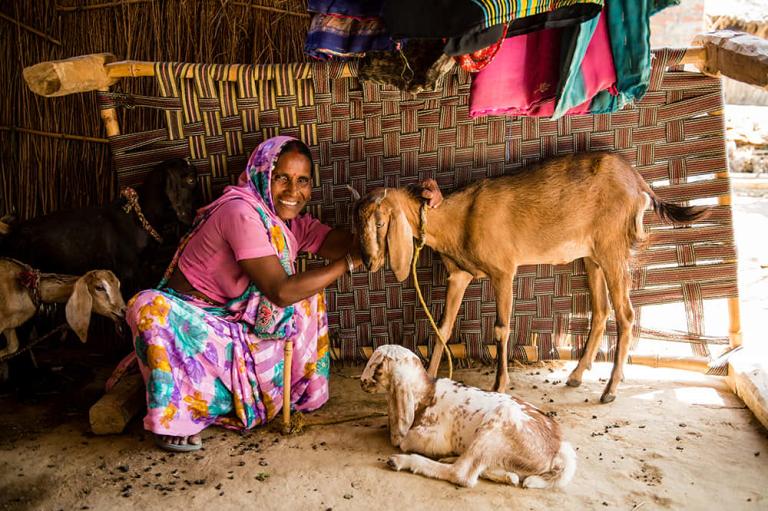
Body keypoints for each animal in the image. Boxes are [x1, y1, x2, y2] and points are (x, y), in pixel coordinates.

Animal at [0, 159, 198, 296]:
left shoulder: (145, 268)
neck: (138, 219)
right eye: (190, 179)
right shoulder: (127, 274)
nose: (195, 213)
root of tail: (12, 233)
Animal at [354, 152, 708, 404]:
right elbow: (442, 326)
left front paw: (500, 384)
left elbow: (501, 329)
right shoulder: (459, 275)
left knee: (626, 314)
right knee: (601, 310)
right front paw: (426, 377)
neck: (459, 219)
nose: (369, 262)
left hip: (613, 248)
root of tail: (638, 181)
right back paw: (577, 375)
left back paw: (609, 390)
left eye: (381, 222)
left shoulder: (503, 270)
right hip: (592, 256)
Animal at [362, 346, 576, 490]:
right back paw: (504, 475)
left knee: (461, 474)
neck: (425, 393)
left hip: (497, 425)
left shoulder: (434, 437)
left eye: (377, 363)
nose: (362, 381)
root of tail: (558, 448)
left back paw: (403, 461)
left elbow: (405, 441)